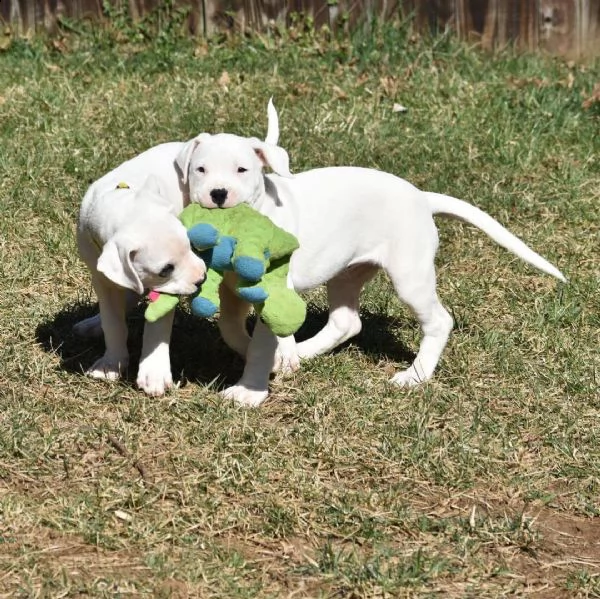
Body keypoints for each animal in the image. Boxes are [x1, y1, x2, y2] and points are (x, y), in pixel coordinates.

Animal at [176, 134, 564, 408]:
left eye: (242, 170)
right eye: (200, 169)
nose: (219, 193)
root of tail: (422, 198)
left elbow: (261, 342)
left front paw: (249, 391)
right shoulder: (232, 290)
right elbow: (231, 328)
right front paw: (280, 358)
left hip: (410, 276)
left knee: (439, 321)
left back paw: (414, 377)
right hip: (346, 272)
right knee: (347, 322)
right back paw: (303, 352)